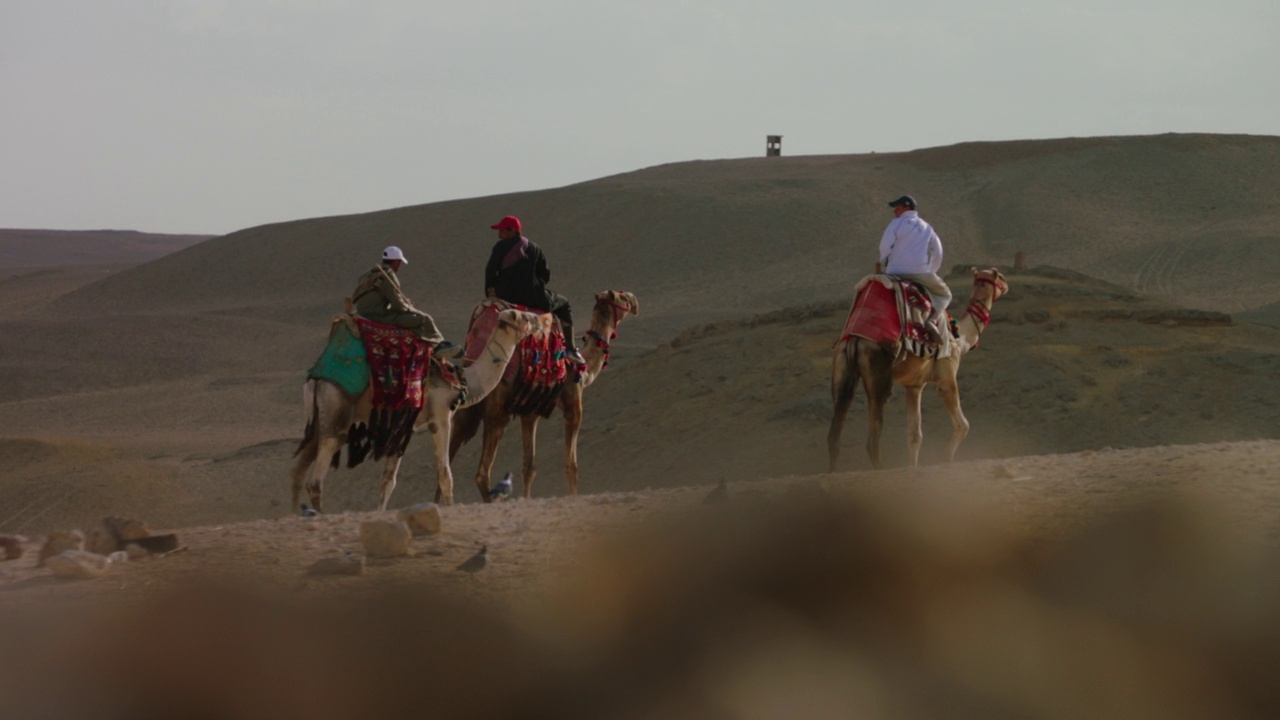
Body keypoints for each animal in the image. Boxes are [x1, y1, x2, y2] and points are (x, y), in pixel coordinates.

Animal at [290, 304, 540, 512]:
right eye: (523, 316)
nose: (539, 319)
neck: (464, 380)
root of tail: (315, 379)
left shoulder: (403, 425)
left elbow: (388, 481)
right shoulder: (441, 417)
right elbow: (445, 475)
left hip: (319, 418)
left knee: (298, 469)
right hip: (336, 408)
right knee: (315, 480)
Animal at [450, 288, 640, 502]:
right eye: (623, 297)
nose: (635, 301)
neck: (584, 370)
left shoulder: (530, 412)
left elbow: (529, 467)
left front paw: (526, 499)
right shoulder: (573, 403)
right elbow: (571, 466)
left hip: (466, 404)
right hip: (497, 409)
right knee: (482, 473)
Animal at [829, 266, 1008, 468]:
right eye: (1000, 276)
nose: (1006, 284)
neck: (960, 339)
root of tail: (855, 339)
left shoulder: (914, 386)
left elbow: (914, 435)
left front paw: (913, 467)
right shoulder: (947, 378)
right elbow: (963, 425)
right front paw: (947, 460)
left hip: (842, 364)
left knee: (835, 433)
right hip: (877, 367)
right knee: (873, 437)